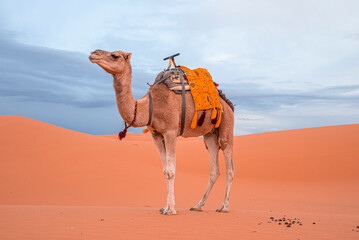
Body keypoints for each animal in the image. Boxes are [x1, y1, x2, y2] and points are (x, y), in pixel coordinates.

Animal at [88, 49, 236, 215]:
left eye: (115, 55)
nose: (93, 53)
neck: (150, 106)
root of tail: (228, 104)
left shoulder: (170, 131)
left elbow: (171, 171)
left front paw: (170, 209)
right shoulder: (156, 135)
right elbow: (165, 171)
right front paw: (165, 207)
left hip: (227, 126)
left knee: (230, 168)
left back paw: (224, 207)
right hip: (210, 134)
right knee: (214, 169)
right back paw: (198, 205)